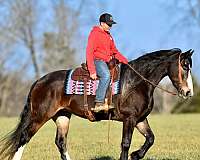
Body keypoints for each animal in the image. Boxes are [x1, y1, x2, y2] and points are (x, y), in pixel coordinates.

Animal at [0, 48, 194, 159]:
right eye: (185, 66)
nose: (188, 92)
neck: (136, 82)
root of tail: (39, 81)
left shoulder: (140, 119)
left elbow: (151, 139)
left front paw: (136, 155)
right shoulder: (129, 119)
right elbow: (125, 143)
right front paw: (132, 154)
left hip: (62, 116)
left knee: (61, 143)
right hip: (40, 116)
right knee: (24, 137)